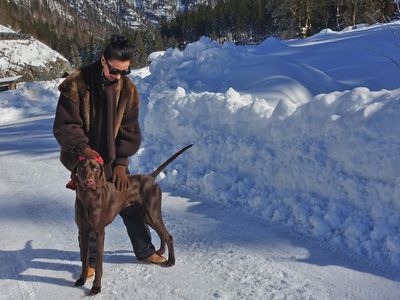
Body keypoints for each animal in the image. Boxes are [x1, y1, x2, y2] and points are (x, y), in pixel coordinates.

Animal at [74, 144, 194, 294]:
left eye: (95, 168)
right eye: (82, 168)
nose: (89, 182)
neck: (88, 197)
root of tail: (150, 177)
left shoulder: (99, 233)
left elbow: (99, 265)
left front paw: (96, 287)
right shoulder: (83, 231)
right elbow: (84, 260)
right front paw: (82, 280)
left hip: (152, 213)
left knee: (168, 236)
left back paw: (171, 261)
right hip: (146, 215)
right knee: (162, 233)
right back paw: (160, 252)